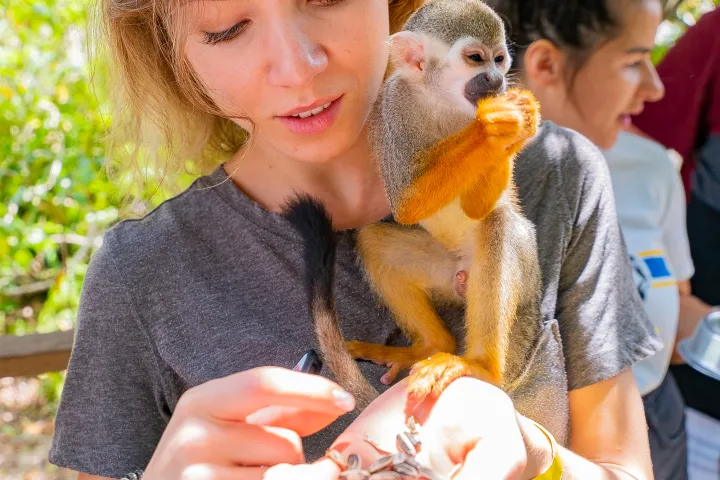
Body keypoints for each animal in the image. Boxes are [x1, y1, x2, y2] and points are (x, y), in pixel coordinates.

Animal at [284, 0, 542, 406]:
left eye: (500, 59)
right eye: (476, 58)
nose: (497, 80)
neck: (442, 101)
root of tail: (460, 273)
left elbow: (479, 209)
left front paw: (517, 120)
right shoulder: (394, 106)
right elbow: (407, 205)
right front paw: (493, 125)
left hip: (522, 274)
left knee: (498, 224)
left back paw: (480, 366)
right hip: (443, 271)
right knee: (373, 238)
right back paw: (432, 346)